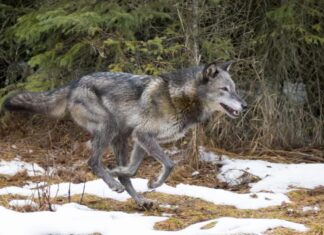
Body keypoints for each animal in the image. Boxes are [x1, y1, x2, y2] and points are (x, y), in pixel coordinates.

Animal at [3, 60, 246, 207]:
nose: (245, 105)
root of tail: (74, 84)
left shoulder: (141, 138)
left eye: (235, 89)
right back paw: (114, 184)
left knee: (117, 173)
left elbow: (132, 169)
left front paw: (127, 174)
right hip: (109, 129)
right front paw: (152, 184)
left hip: (121, 137)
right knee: (92, 162)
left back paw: (138, 199)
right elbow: (169, 165)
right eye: (225, 89)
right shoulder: (144, 135)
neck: (180, 98)